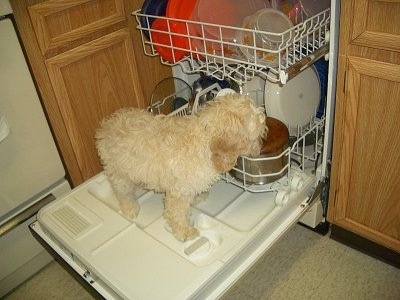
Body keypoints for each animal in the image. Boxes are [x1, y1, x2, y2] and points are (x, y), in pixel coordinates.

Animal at [95, 94, 268, 241]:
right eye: (257, 136)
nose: (258, 150)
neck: (205, 139)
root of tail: (106, 126)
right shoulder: (178, 192)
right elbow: (178, 213)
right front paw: (185, 232)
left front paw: (198, 197)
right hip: (118, 171)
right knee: (122, 192)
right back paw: (130, 209)